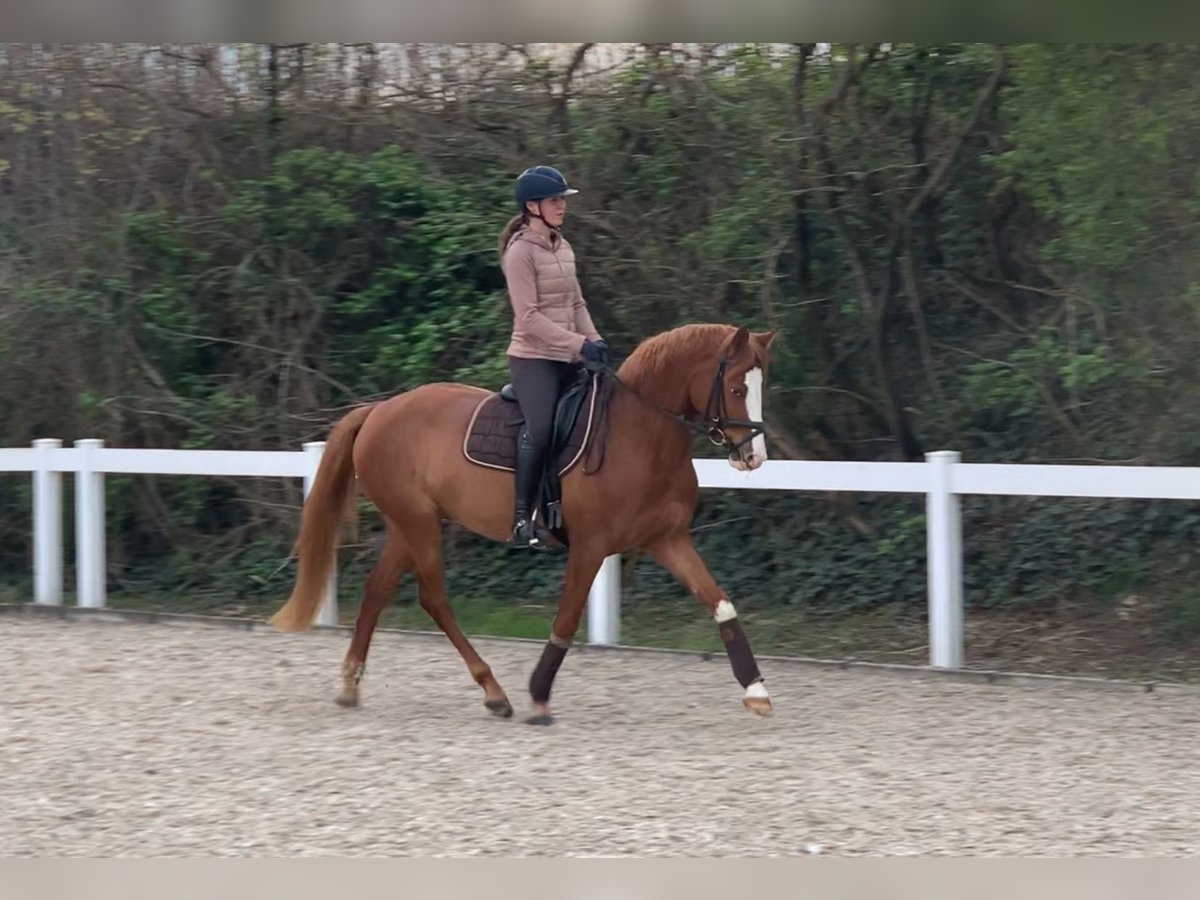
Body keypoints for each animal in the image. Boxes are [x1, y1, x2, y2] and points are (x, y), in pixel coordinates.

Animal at [270, 324, 777, 724]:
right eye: (736, 388)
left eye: (760, 387)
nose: (753, 458)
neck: (640, 438)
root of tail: (379, 409)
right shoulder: (591, 546)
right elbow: (566, 618)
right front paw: (539, 694)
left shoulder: (667, 540)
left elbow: (720, 603)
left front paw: (756, 690)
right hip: (417, 523)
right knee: (433, 598)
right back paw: (494, 692)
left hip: (409, 522)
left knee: (379, 591)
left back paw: (351, 684)